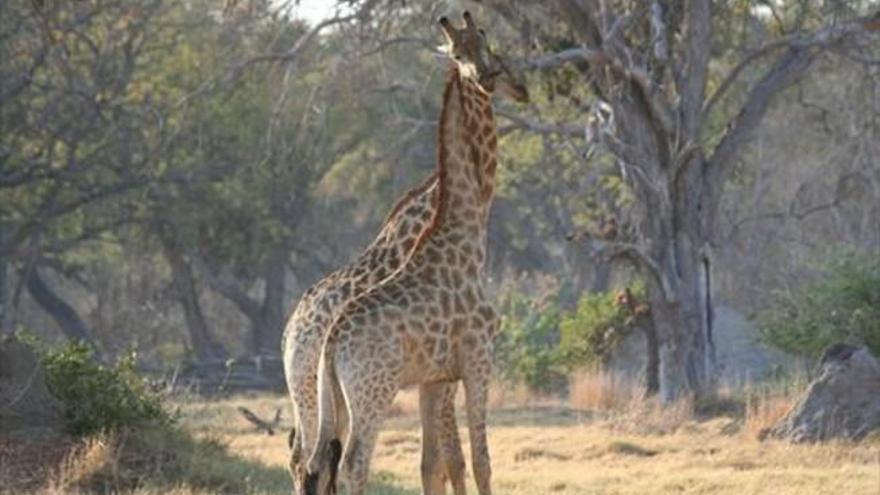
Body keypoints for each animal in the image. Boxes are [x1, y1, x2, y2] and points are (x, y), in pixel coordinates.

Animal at [286, 172, 470, 494]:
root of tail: (290, 336)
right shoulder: (447, 377)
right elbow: (452, 460)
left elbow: (433, 462)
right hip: (320, 395)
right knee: (315, 461)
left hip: (311, 397)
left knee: (306, 459)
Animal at [306, 11, 524, 495]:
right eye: (459, 52)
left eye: (484, 42)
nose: (489, 77)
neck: (467, 236)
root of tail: (330, 344)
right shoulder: (479, 358)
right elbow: (481, 460)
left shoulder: (434, 378)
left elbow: (437, 464)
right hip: (374, 390)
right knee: (352, 464)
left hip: (334, 398)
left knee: (316, 462)